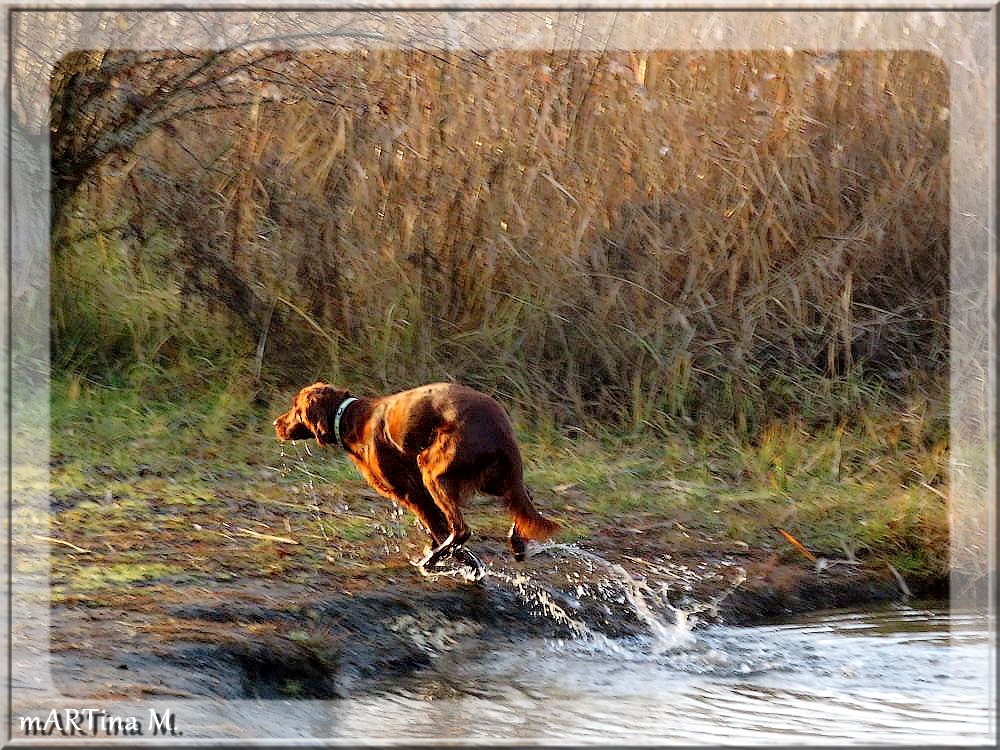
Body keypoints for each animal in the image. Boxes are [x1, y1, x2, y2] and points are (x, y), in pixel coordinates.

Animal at [272, 382, 556, 576]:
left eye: (295, 409)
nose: (276, 423)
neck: (351, 417)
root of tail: (500, 430)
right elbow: (437, 529)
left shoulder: (411, 493)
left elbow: (440, 529)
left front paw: (461, 561)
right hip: (494, 479)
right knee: (522, 504)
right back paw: (516, 544)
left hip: (433, 470)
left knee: (462, 529)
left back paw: (430, 563)